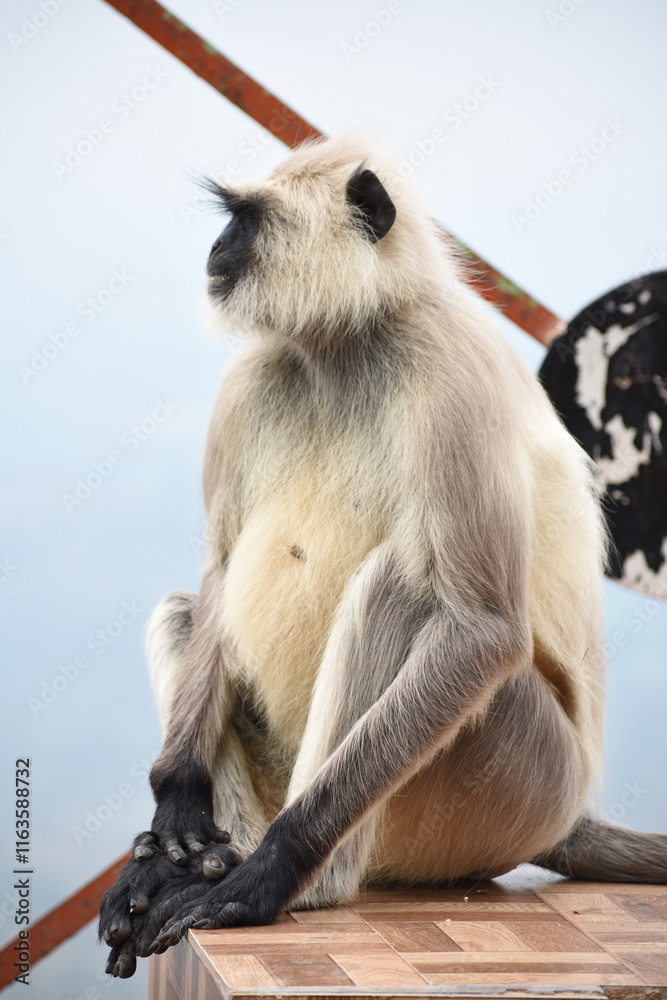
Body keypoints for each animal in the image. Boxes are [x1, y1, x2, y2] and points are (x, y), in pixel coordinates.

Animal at [99, 135, 667, 979]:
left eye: (246, 220)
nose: (217, 249)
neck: (348, 342)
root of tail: (565, 814)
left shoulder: (452, 375)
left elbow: (481, 628)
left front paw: (271, 870)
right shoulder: (249, 379)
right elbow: (221, 566)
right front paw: (175, 814)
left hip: (504, 787)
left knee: (402, 591)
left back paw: (297, 877)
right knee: (185, 609)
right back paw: (205, 859)